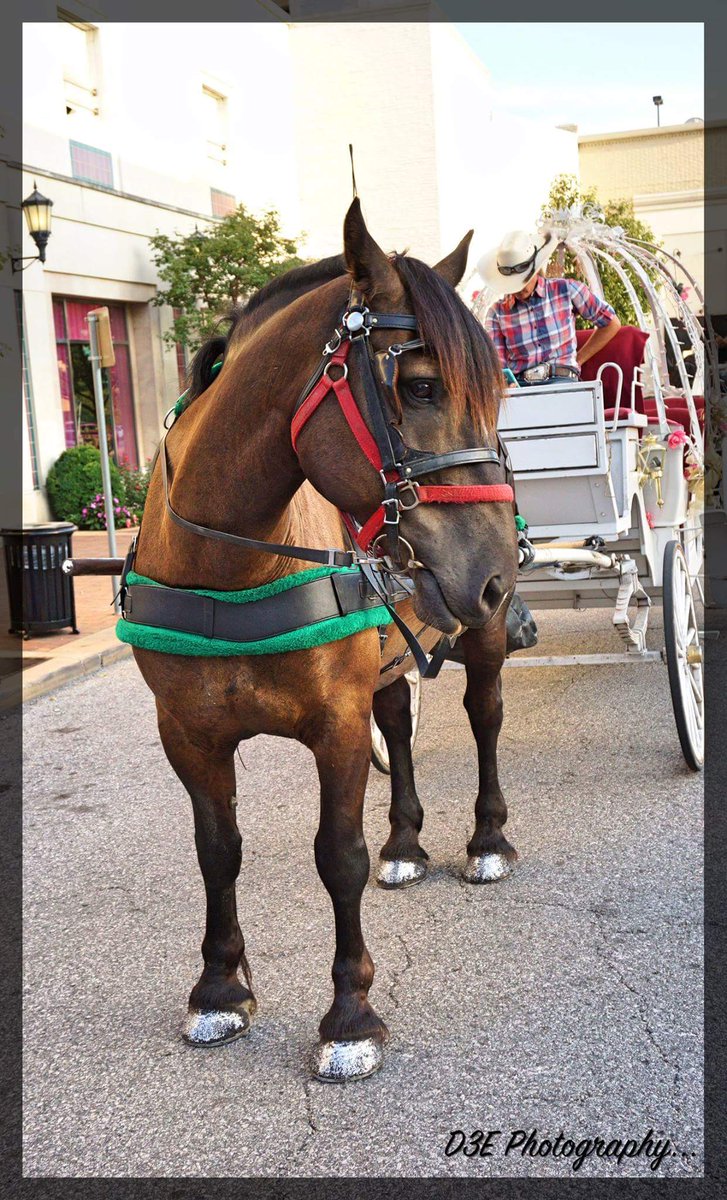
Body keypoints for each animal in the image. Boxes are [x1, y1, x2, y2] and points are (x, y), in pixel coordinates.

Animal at [127, 199, 519, 1081]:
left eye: (497, 392)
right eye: (418, 386)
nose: (494, 575)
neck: (228, 565)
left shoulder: (334, 725)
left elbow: (336, 856)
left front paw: (349, 1016)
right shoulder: (186, 734)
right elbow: (216, 851)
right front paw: (218, 989)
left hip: (476, 643)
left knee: (483, 718)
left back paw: (486, 838)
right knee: (399, 725)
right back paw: (405, 843)